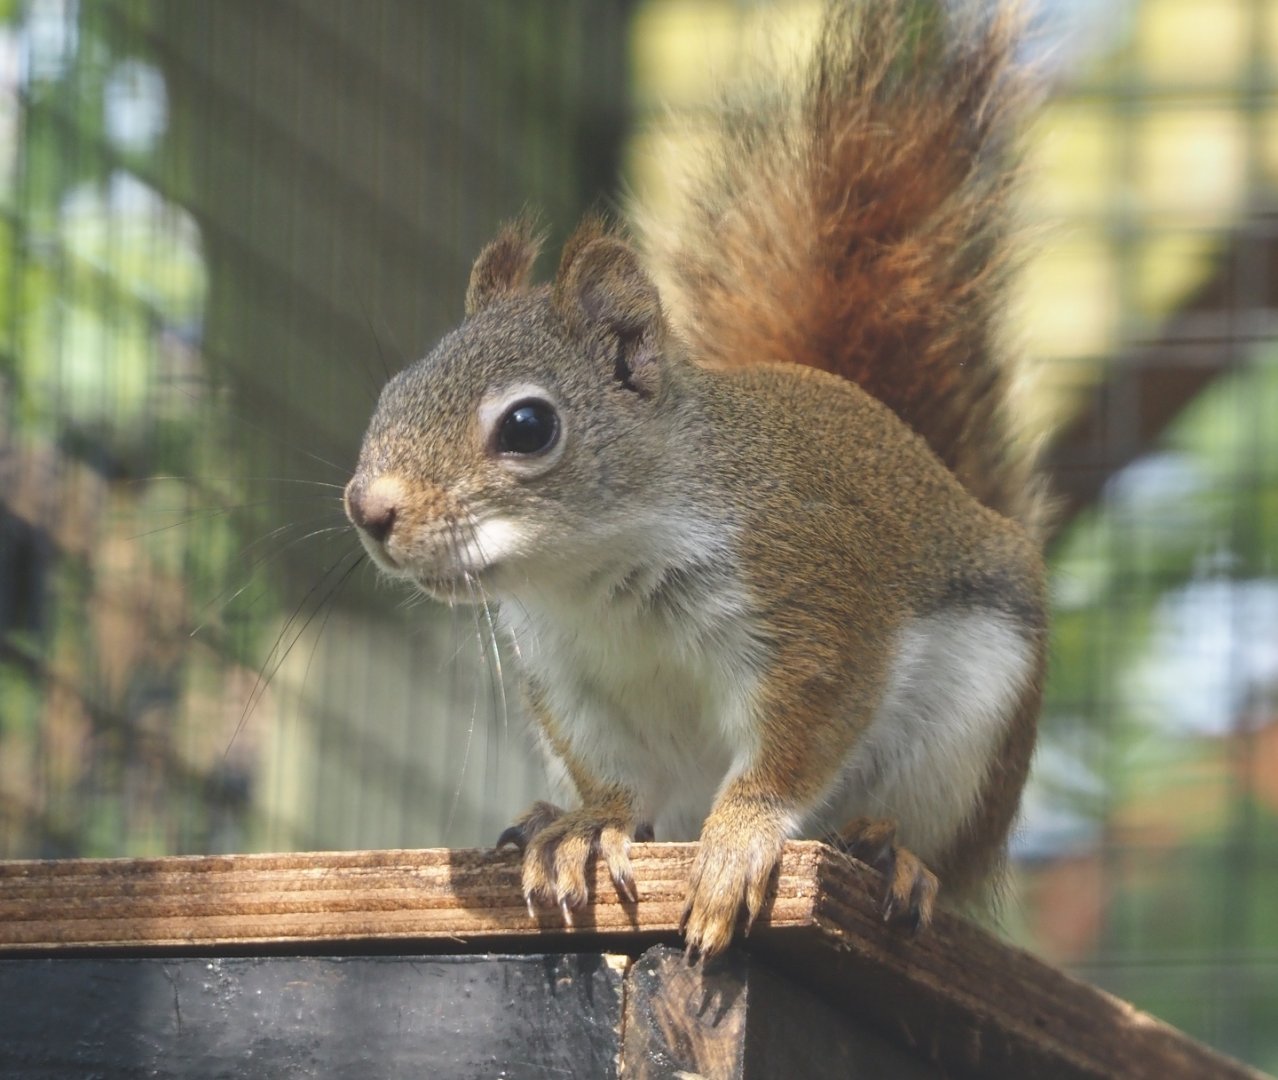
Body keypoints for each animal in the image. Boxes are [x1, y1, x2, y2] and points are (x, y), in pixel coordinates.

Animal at [343, 0, 1047, 958]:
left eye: (527, 426)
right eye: (393, 391)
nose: (368, 510)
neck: (596, 578)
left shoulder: (815, 608)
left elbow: (793, 750)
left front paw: (739, 843)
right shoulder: (570, 682)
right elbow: (612, 775)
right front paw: (587, 828)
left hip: (969, 737)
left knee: (940, 851)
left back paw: (892, 852)